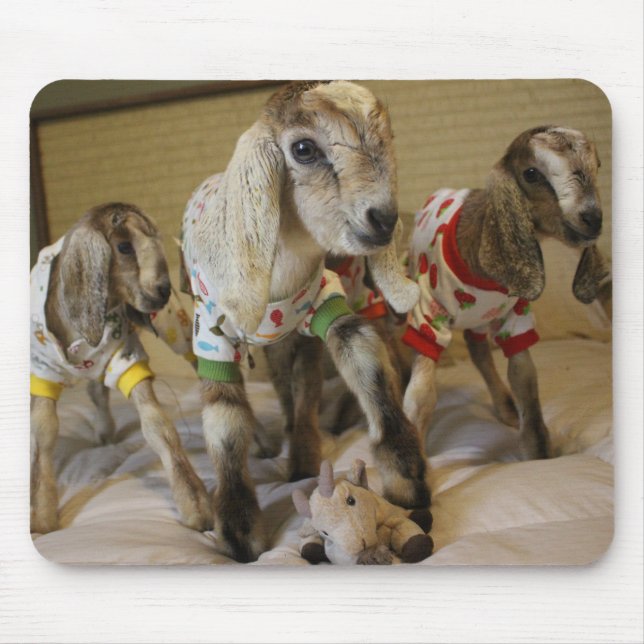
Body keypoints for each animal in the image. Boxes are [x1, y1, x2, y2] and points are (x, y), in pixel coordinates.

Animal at [30, 204, 212, 534]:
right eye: (124, 247)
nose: (164, 290)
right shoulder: (43, 370)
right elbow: (42, 433)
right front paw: (41, 516)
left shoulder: (127, 358)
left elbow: (158, 426)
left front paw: (196, 505)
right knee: (95, 390)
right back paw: (104, 431)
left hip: (176, 327)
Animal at [182, 80, 429, 562]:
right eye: (303, 149)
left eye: (387, 139)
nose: (384, 219)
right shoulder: (213, 335)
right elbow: (225, 421)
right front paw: (239, 531)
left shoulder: (322, 304)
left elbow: (362, 356)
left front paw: (407, 478)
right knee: (284, 391)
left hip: (299, 335)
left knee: (307, 385)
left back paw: (305, 453)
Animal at [401, 126, 609, 459]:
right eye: (531, 173)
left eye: (598, 165)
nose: (593, 218)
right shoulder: (428, 316)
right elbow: (420, 395)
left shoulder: (515, 317)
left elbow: (525, 381)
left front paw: (538, 455)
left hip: (479, 317)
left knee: (479, 350)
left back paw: (506, 408)